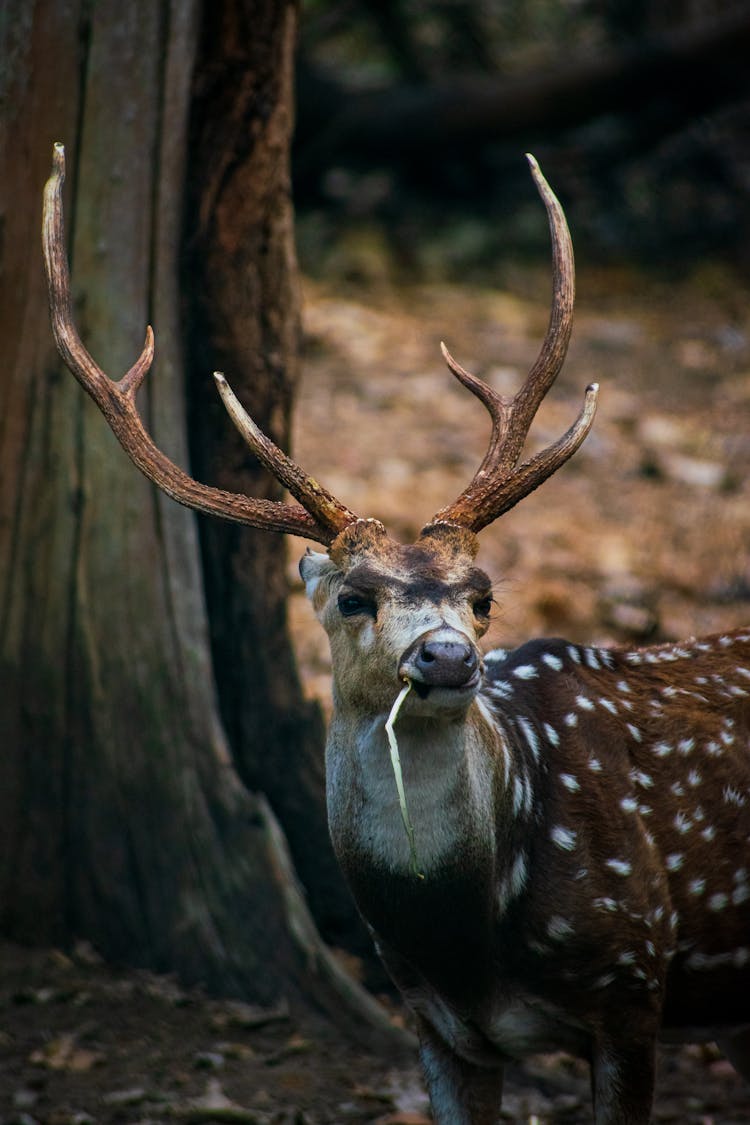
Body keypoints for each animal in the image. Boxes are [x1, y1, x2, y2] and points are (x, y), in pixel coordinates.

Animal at [42, 142, 750, 1125]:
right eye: (353, 597)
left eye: (482, 596)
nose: (448, 655)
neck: (465, 940)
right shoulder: (434, 1023)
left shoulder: (632, 980)